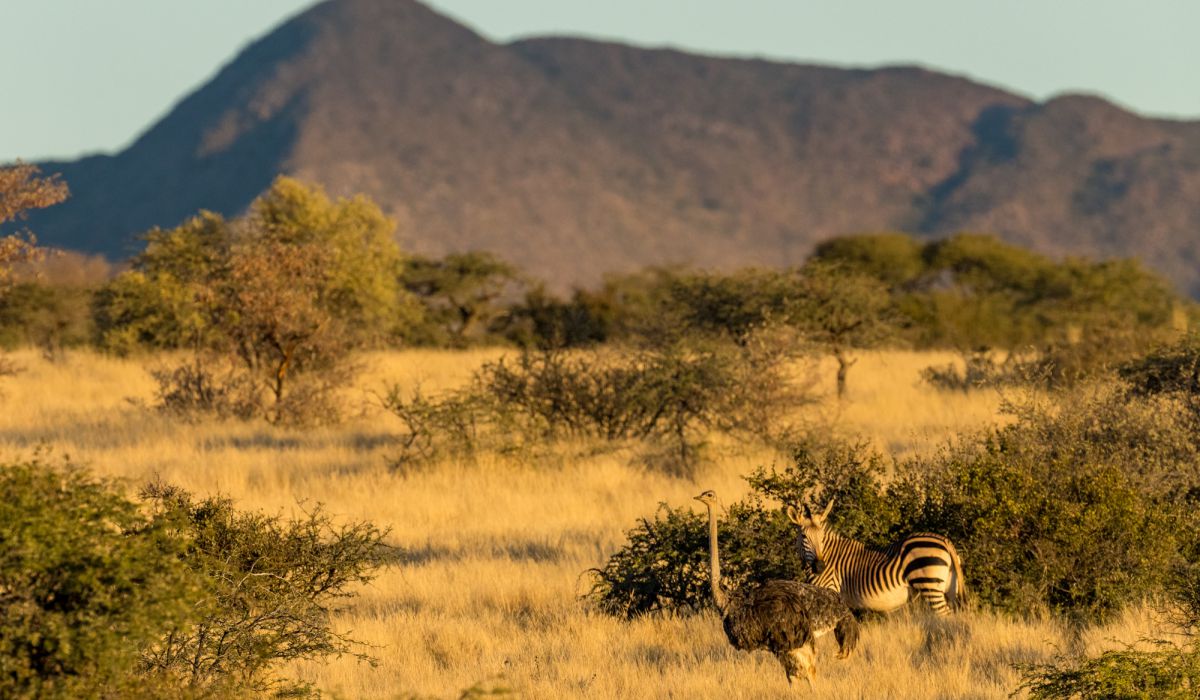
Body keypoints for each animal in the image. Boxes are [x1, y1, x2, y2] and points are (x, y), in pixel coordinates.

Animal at [782, 499, 969, 619]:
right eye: (804, 536)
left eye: (821, 537)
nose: (820, 567)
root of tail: (945, 541)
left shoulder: (829, 590)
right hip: (949, 589)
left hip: (930, 585)